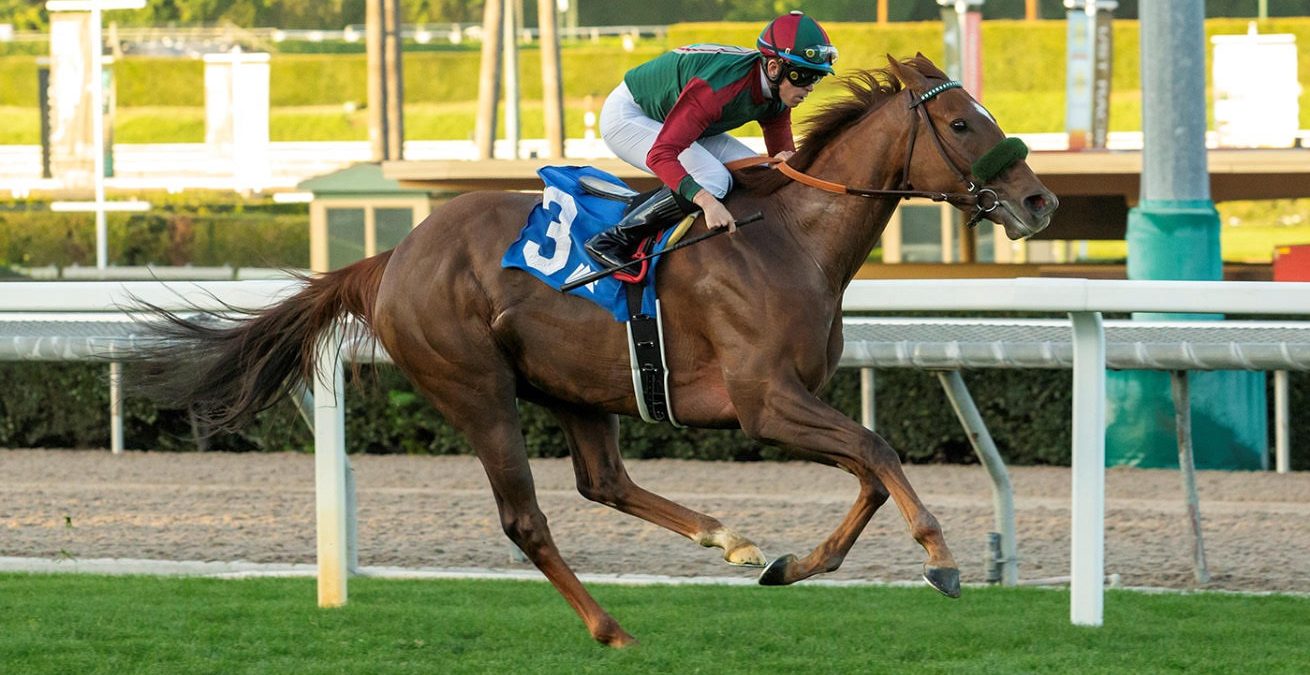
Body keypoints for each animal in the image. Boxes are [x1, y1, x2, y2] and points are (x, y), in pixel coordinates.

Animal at [135, 54, 1057, 647]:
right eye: (963, 122)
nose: (1039, 201)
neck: (790, 239)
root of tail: (392, 256)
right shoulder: (765, 401)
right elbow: (878, 448)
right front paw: (942, 559)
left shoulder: (794, 399)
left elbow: (868, 469)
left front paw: (795, 563)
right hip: (475, 387)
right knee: (526, 517)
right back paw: (611, 626)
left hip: (575, 385)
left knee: (603, 481)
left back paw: (726, 538)